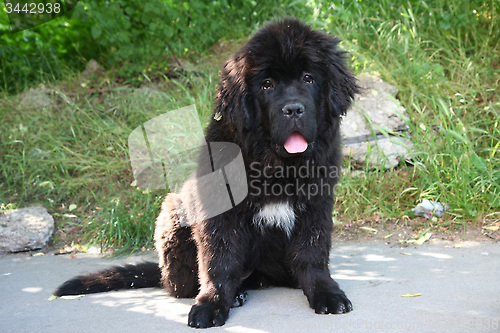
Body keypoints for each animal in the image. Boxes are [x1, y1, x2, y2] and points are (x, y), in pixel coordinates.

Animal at [54, 18, 360, 326]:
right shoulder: (218, 210)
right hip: (174, 212)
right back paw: (232, 294)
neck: (274, 165)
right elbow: (219, 262)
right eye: (267, 84)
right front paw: (211, 304)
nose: (294, 109)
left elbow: (312, 256)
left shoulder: (316, 205)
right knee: (183, 284)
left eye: (309, 78)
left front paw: (326, 293)